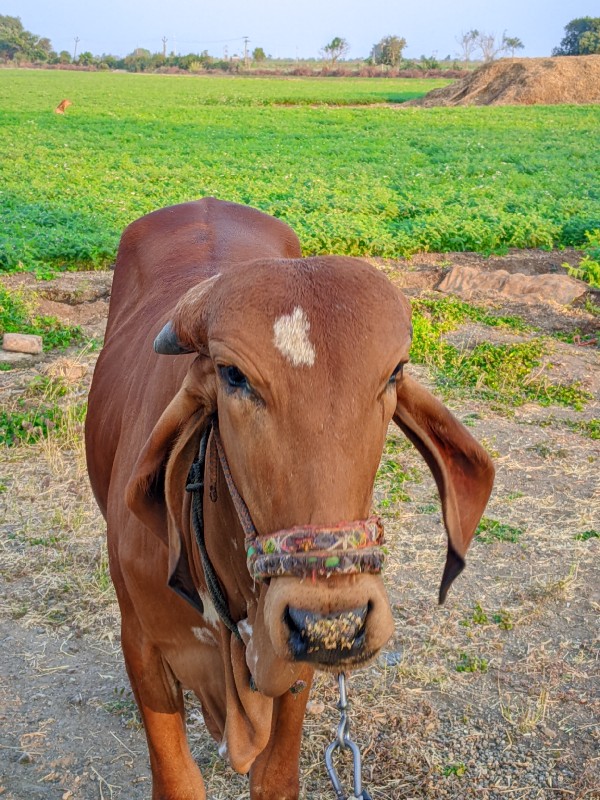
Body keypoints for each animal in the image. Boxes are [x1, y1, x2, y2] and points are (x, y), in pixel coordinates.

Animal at [86, 195, 494, 800]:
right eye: (233, 375)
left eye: (394, 372)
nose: (333, 625)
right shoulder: (141, 645)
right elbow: (178, 781)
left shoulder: (294, 671)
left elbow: (276, 779)